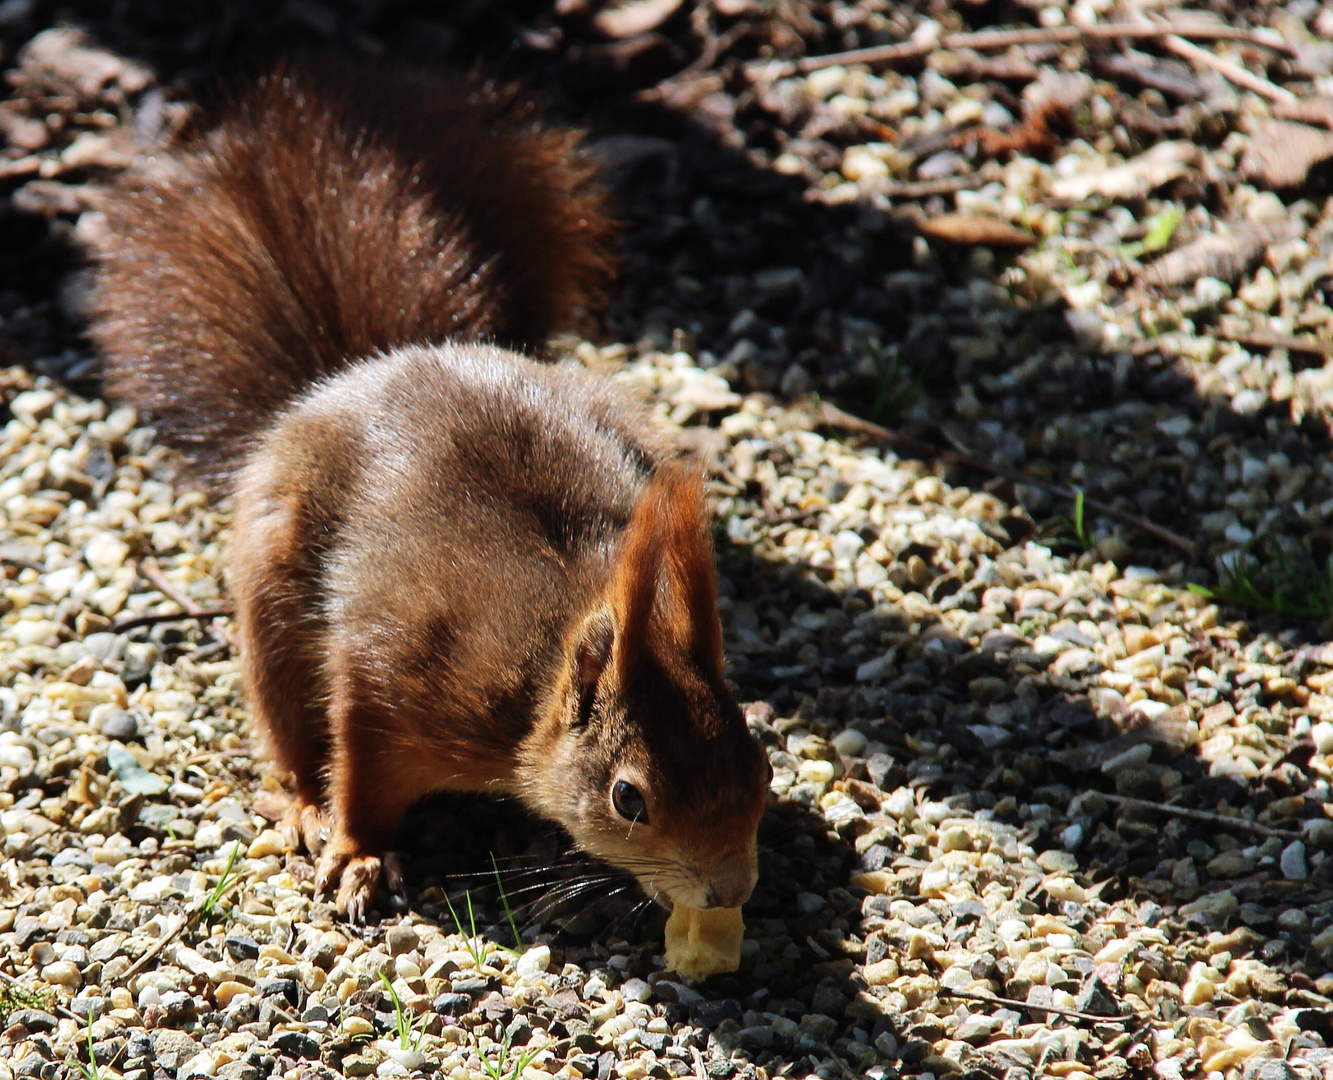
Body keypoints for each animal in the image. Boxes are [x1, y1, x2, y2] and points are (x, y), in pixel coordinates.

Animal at [88, 61, 767, 917]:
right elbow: (362, 769)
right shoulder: (398, 679)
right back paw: (305, 806)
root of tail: (358, 370)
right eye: (628, 798)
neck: (536, 673)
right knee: (288, 731)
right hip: (271, 602)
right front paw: (359, 855)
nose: (729, 890)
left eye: (760, 765)